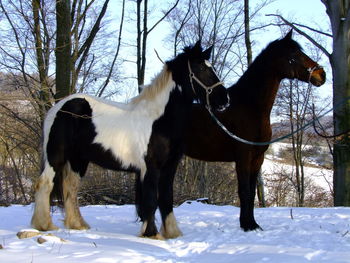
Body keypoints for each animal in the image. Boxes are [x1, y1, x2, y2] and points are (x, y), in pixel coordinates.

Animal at [31, 40, 230, 239]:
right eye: (200, 68)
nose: (225, 99)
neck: (159, 121)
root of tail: (58, 107)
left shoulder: (169, 168)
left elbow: (166, 198)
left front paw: (172, 233)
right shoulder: (151, 167)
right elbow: (151, 200)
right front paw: (152, 234)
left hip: (78, 160)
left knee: (70, 187)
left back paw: (78, 225)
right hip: (56, 155)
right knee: (45, 184)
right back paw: (44, 225)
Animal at [183, 30, 326, 231]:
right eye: (294, 56)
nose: (322, 74)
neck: (250, 107)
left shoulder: (258, 158)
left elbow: (251, 193)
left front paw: (252, 224)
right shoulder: (243, 156)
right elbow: (244, 191)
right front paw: (246, 225)